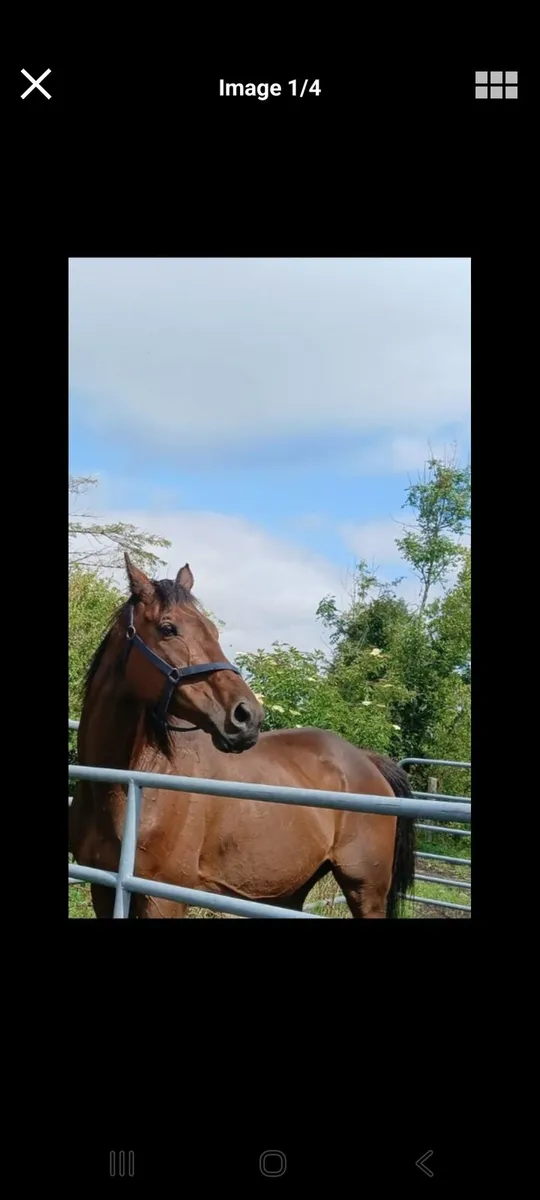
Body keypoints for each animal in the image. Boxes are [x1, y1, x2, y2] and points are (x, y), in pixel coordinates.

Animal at [69, 554, 415, 918]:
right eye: (168, 628)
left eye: (213, 630)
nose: (248, 716)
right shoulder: (104, 887)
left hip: (366, 892)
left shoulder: (163, 896)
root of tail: (368, 760)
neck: (130, 785)